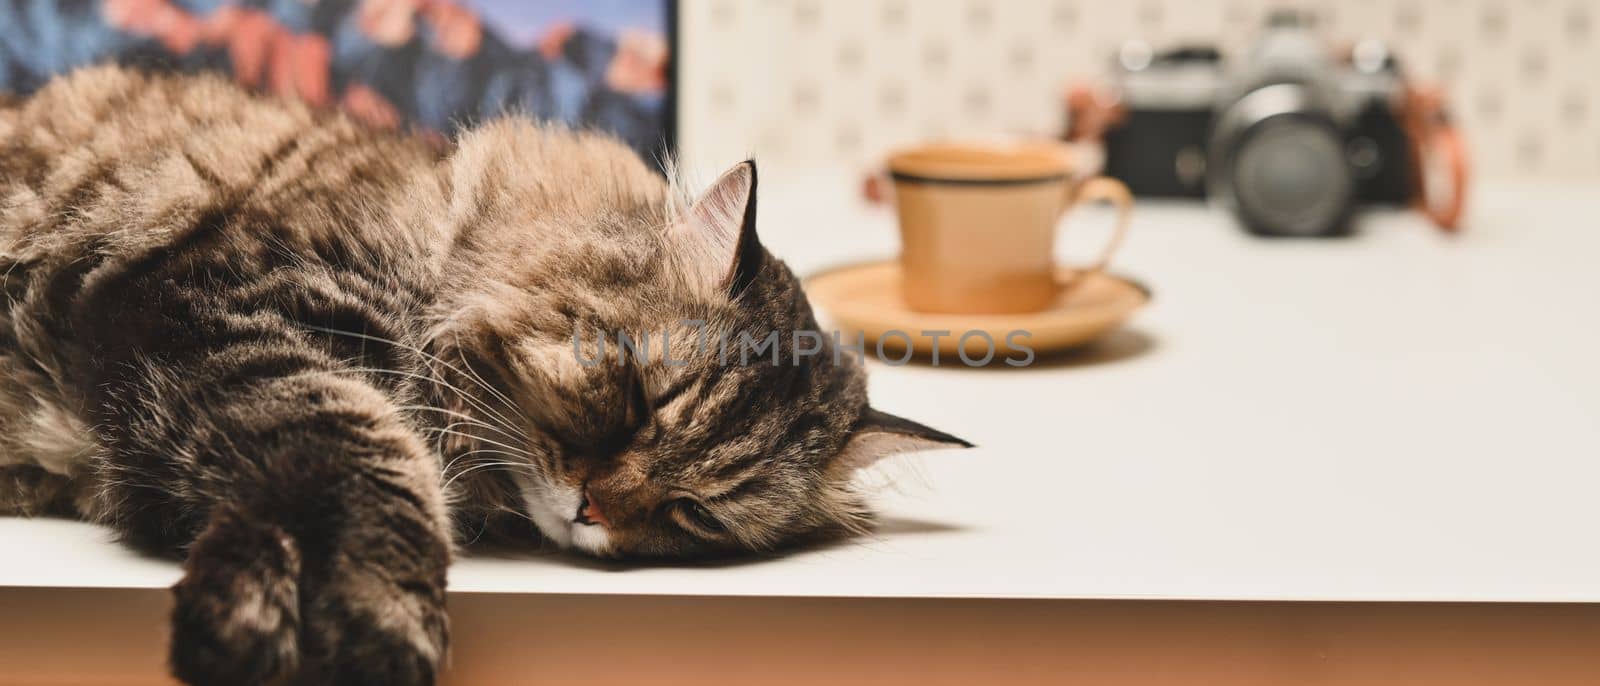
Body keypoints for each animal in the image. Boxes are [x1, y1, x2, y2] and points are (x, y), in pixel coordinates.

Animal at [0, 68, 960, 684]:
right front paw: (367, 627)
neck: (443, 230)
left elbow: (290, 493)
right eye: (633, 400)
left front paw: (251, 624)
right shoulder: (219, 313)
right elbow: (364, 455)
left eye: (695, 514)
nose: (591, 510)